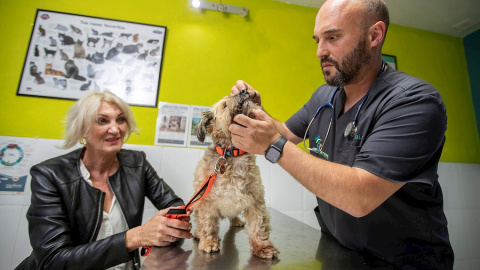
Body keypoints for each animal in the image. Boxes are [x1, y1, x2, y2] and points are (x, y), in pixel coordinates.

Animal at [193, 89, 280, 258]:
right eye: (224, 105)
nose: (244, 90)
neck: (232, 155)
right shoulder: (206, 202)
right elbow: (207, 224)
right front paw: (208, 242)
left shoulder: (255, 200)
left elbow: (259, 226)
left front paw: (263, 247)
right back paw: (198, 233)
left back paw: (236, 221)